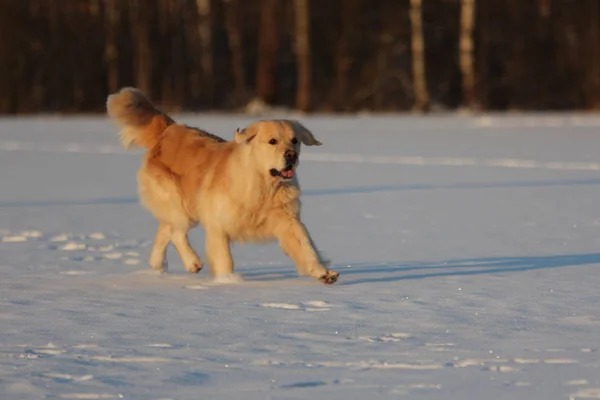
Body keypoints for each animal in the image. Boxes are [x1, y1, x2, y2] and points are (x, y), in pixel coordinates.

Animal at [106, 88, 340, 284]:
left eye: (295, 140)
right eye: (272, 141)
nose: (291, 155)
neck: (262, 186)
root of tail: (169, 128)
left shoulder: (288, 221)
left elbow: (306, 246)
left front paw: (323, 272)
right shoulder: (218, 226)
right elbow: (225, 259)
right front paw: (228, 282)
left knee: (165, 229)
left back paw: (159, 265)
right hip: (181, 204)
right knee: (175, 231)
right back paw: (192, 261)